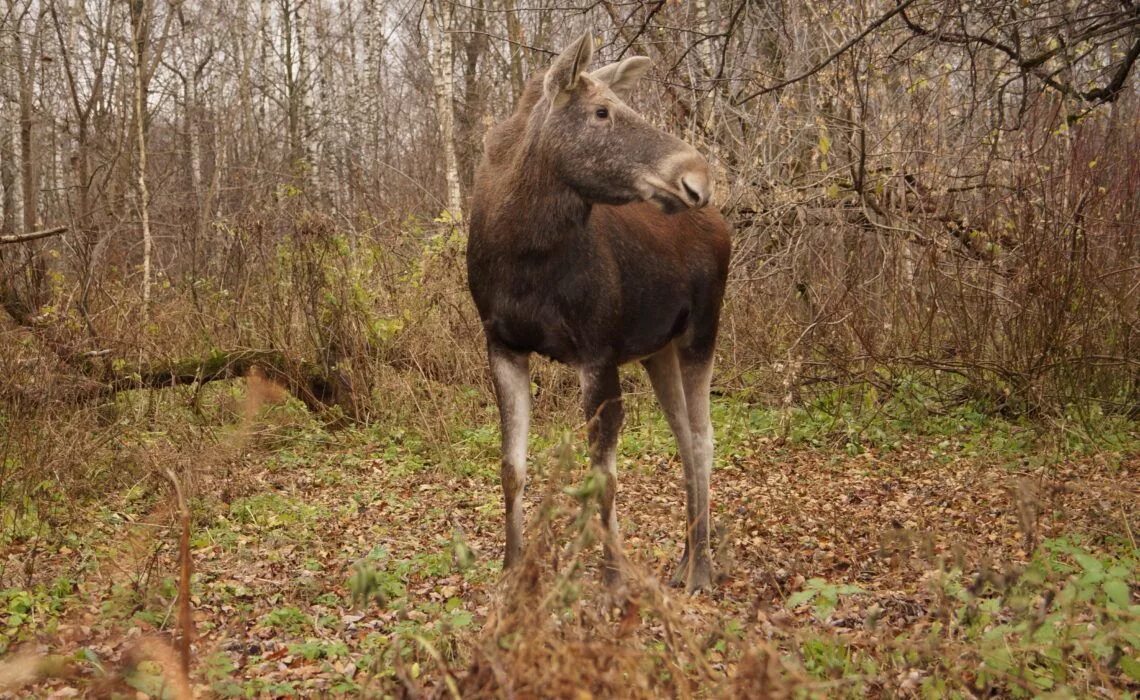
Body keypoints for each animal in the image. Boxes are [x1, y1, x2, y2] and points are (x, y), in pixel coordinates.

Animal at [469, 34, 729, 592]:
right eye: (602, 111)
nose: (697, 176)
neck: (522, 253)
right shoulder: (501, 345)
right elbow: (511, 467)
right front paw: (513, 571)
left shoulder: (597, 352)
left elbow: (601, 478)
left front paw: (613, 580)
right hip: (658, 350)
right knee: (683, 437)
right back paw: (684, 558)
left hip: (702, 332)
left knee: (702, 440)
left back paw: (701, 568)